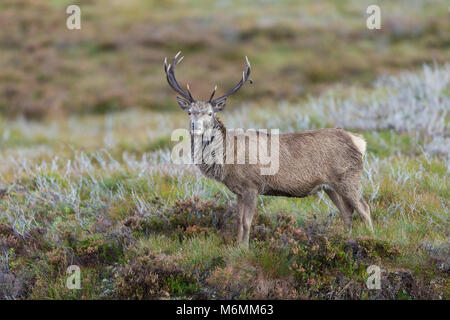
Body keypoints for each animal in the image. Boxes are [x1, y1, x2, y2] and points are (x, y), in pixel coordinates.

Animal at [163, 52, 374, 248]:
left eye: (209, 113)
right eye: (189, 112)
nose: (195, 126)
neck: (228, 159)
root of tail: (360, 141)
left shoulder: (252, 185)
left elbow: (247, 222)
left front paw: (245, 249)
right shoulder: (238, 190)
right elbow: (238, 221)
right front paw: (236, 247)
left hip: (348, 177)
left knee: (364, 208)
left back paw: (370, 239)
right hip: (330, 185)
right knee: (347, 212)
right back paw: (345, 239)